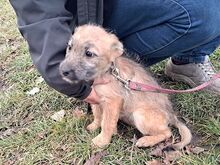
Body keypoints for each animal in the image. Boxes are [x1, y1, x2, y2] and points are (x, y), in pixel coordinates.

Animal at [59, 24, 192, 150]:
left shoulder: (113, 102)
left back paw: (146, 141)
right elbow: (98, 115)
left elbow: (106, 123)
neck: (107, 71)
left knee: (167, 132)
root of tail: (172, 115)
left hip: (140, 115)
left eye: (89, 53)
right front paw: (94, 126)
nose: (62, 71)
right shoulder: (96, 99)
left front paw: (102, 141)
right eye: (69, 47)